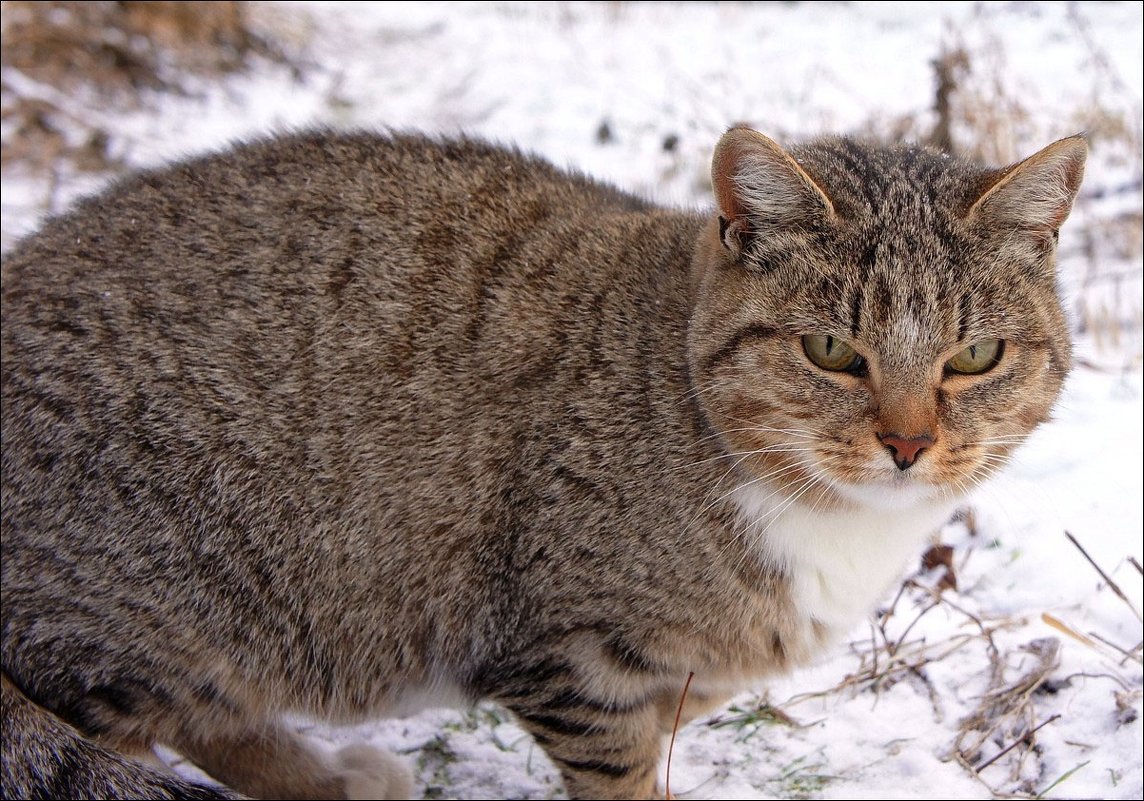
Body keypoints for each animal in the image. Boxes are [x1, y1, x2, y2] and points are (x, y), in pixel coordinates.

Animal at [0, 123, 1084, 796]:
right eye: (831, 351)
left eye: (974, 356)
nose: (908, 442)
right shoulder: (574, 657)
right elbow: (619, 778)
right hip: (142, 598)